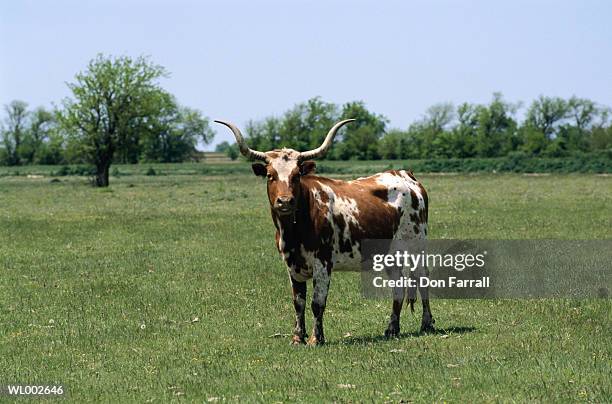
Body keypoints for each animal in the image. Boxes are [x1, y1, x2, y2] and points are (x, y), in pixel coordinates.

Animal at [216, 119, 436, 344]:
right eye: (270, 176)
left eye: (297, 175)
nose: (285, 201)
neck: (293, 229)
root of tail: (405, 175)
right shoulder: (291, 265)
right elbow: (298, 302)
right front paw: (298, 338)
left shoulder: (322, 263)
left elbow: (317, 303)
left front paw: (316, 338)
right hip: (390, 254)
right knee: (398, 285)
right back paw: (392, 328)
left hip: (417, 243)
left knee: (423, 278)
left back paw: (427, 324)